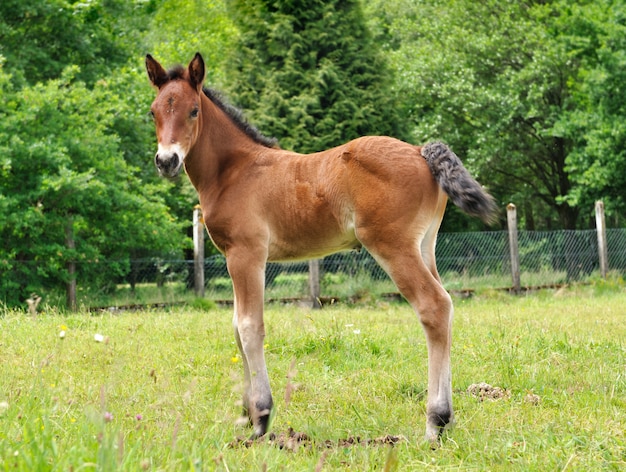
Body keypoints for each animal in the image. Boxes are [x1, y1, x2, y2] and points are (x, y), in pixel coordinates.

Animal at [146, 53, 498, 444]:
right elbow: (236, 327)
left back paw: (435, 423)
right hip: (424, 246)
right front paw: (245, 416)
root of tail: (420, 152)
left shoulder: (246, 253)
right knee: (446, 306)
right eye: (153, 111)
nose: (167, 161)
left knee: (433, 306)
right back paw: (448, 421)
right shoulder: (233, 257)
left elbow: (250, 327)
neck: (234, 171)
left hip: (392, 246)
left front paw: (261, 419)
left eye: (193, 111)